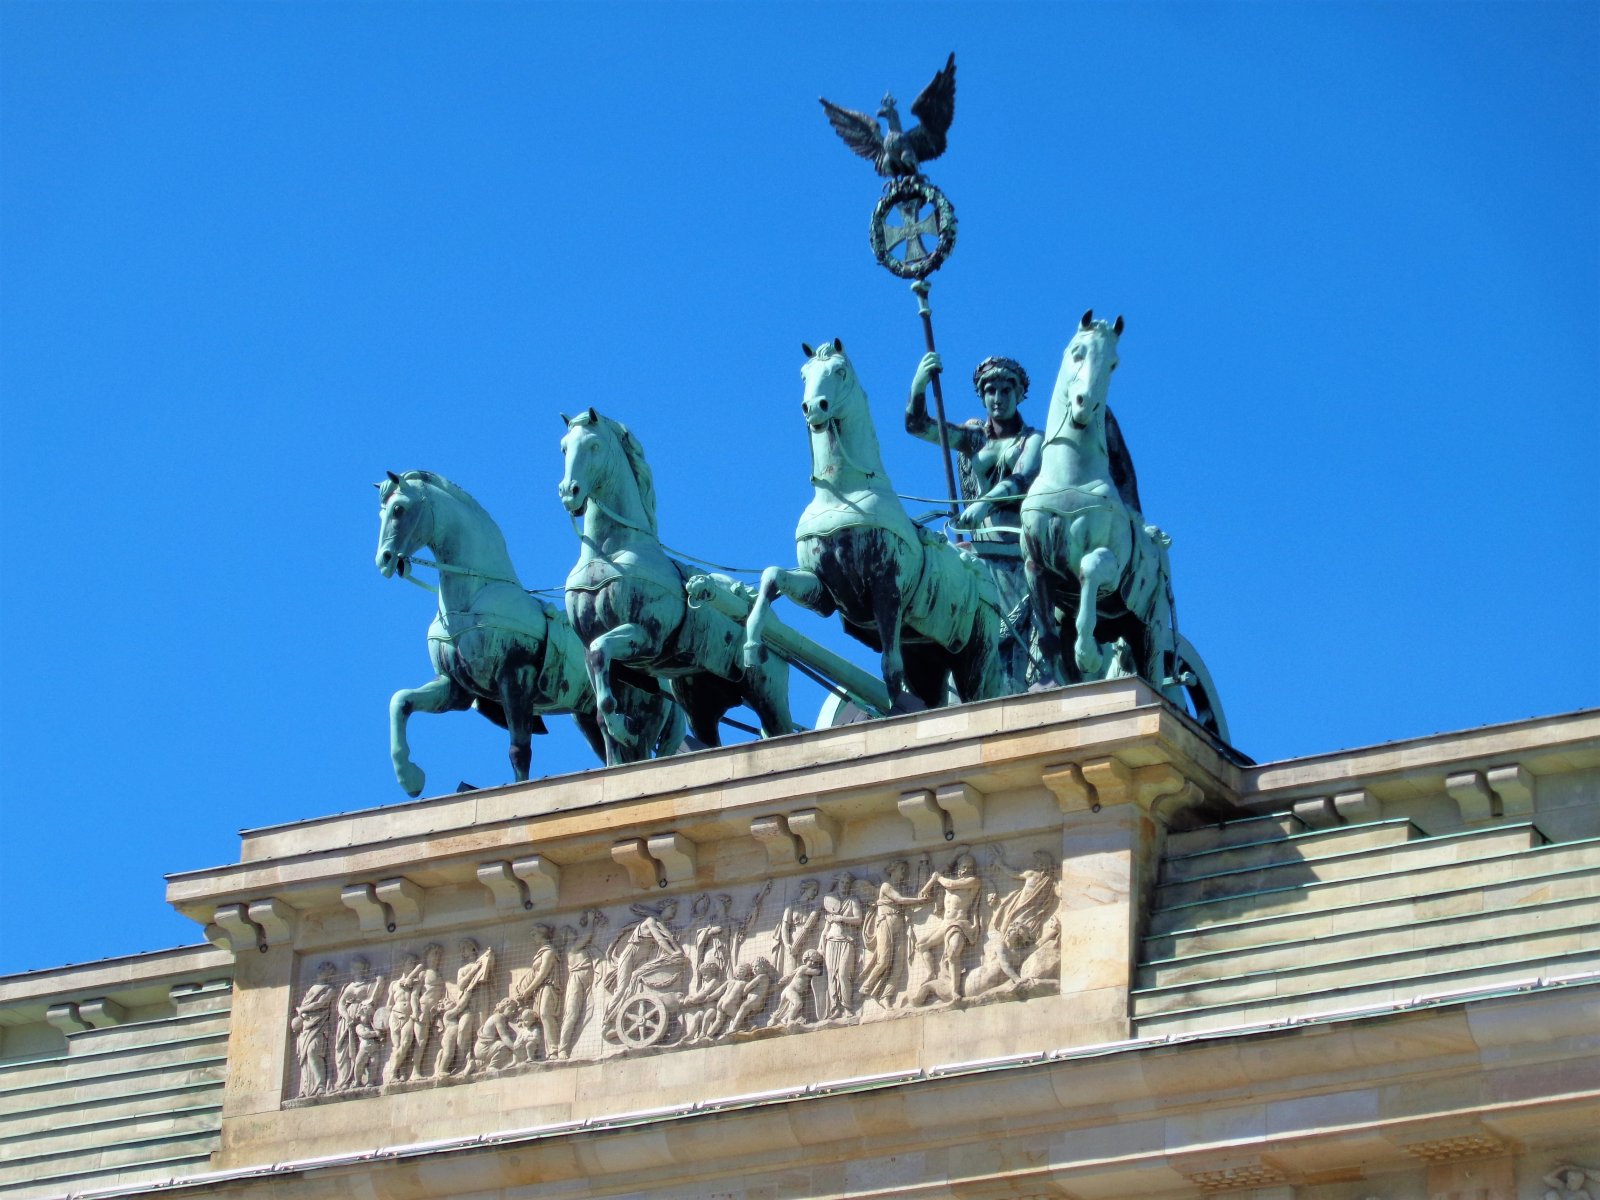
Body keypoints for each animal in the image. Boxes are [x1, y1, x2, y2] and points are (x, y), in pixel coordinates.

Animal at [374, 470, 675, 800]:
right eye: (381, 512)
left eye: (399, 509)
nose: (384, 559)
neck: (472, 598)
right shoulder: (455, 689)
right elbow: (401, 701)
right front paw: (410, 777)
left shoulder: (515, 679)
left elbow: (519, 750)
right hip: (587, 718)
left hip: (642, 716)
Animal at [560, 412, 796, 761]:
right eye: (564, 447)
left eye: (594, 445)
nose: (568, 491)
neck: (608, 553)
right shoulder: (605, 658)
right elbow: (600, 683)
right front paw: (619, 732)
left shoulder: (647, 636)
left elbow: (602, 650)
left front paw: (623, 728)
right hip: (700, 705)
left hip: (767, 690)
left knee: (782, 730)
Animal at [739, 339, 998, 710]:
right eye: (804, 374)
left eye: (840, 371)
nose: (813, 407)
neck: (840, 493)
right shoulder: (824, 590)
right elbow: (772, 576)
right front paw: (752, 645)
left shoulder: (886, 588)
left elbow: (889, 665)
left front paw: (897, 708)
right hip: (927, 656)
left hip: (977, 652)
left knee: (982, 691)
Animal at [1017, 312, 1228, 742]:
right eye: (1077, 351)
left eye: (1114, 363)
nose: (1085, 404)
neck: (1071, 477)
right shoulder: (1035, 566)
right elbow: (1046, 636)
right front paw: (1049, 686)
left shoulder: (1109, 569)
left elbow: (1090, 568)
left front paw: (1087, 652)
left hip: (1149, 628)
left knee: (1155, 675)